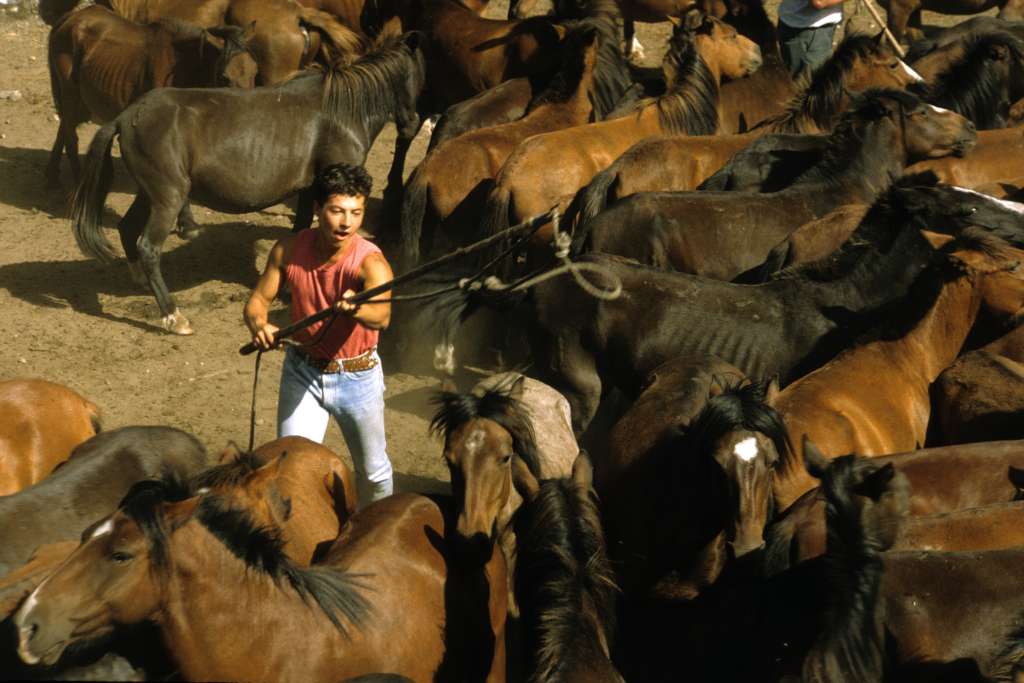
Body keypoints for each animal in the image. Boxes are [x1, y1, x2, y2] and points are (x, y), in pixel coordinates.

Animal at [46, 5, 258, 188]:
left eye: (255, 72)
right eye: (224, 77)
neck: (185, 66)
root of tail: (72, 17)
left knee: (64, 128)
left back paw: (52, 176)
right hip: (70, 93)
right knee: (70, 138)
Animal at [71, 31, 423, 335]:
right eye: (418, 75)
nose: (414, 123)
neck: (341, 111)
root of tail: (127, 116)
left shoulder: (310, 189)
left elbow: (299, 233)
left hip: (150, 194)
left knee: (128, 228)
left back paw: (141, 281)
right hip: (168, 198)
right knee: (148, 247)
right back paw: (173, 316)